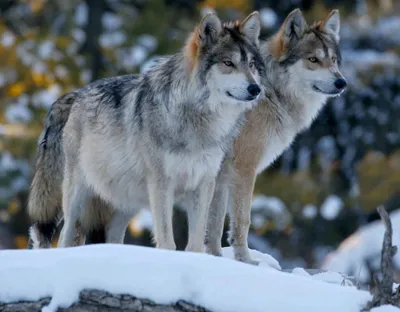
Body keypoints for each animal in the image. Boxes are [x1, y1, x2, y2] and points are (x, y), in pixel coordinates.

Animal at [28, 11, 266, 252]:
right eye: (228, 63)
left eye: (251, 64)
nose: (255, 89)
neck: (200, 122)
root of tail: (75, 94)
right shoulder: (162, 184)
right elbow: (168, 241)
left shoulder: (203, 184)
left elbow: (196, 243)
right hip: (77, 193)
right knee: (64, 236)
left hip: (125, 204)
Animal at [203, 8, 346, 264]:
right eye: (313, 59)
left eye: (333, 60)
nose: (342, 82)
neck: (272, 93)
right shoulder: (244, 169)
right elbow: (242, 221)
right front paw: (246, 261)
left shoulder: (221, 174)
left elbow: (215, 225)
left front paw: (215, 259)